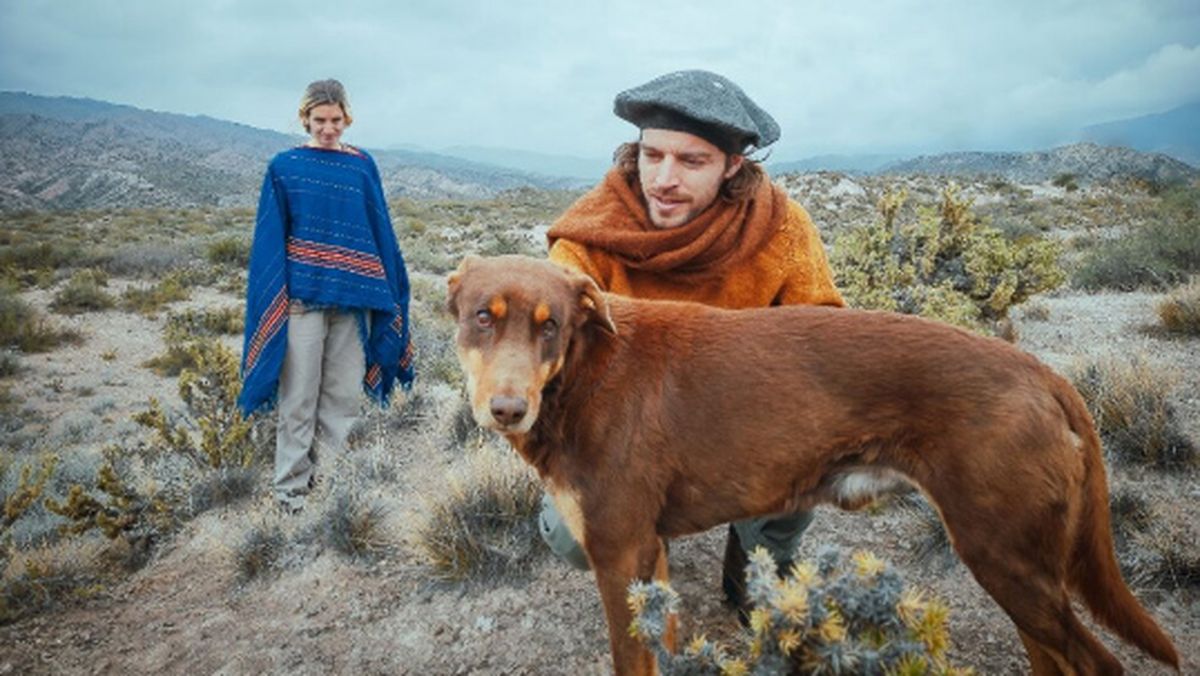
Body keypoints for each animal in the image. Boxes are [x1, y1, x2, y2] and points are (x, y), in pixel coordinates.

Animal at [446, 255, 1176, 676]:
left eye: (550, 326)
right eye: (483, 317)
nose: (507, 409)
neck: (581, 375)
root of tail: (1044, 374)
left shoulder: (620, 552)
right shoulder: (647, 555)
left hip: (1006, 557)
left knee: (1096, 664)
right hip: (1020, 572)